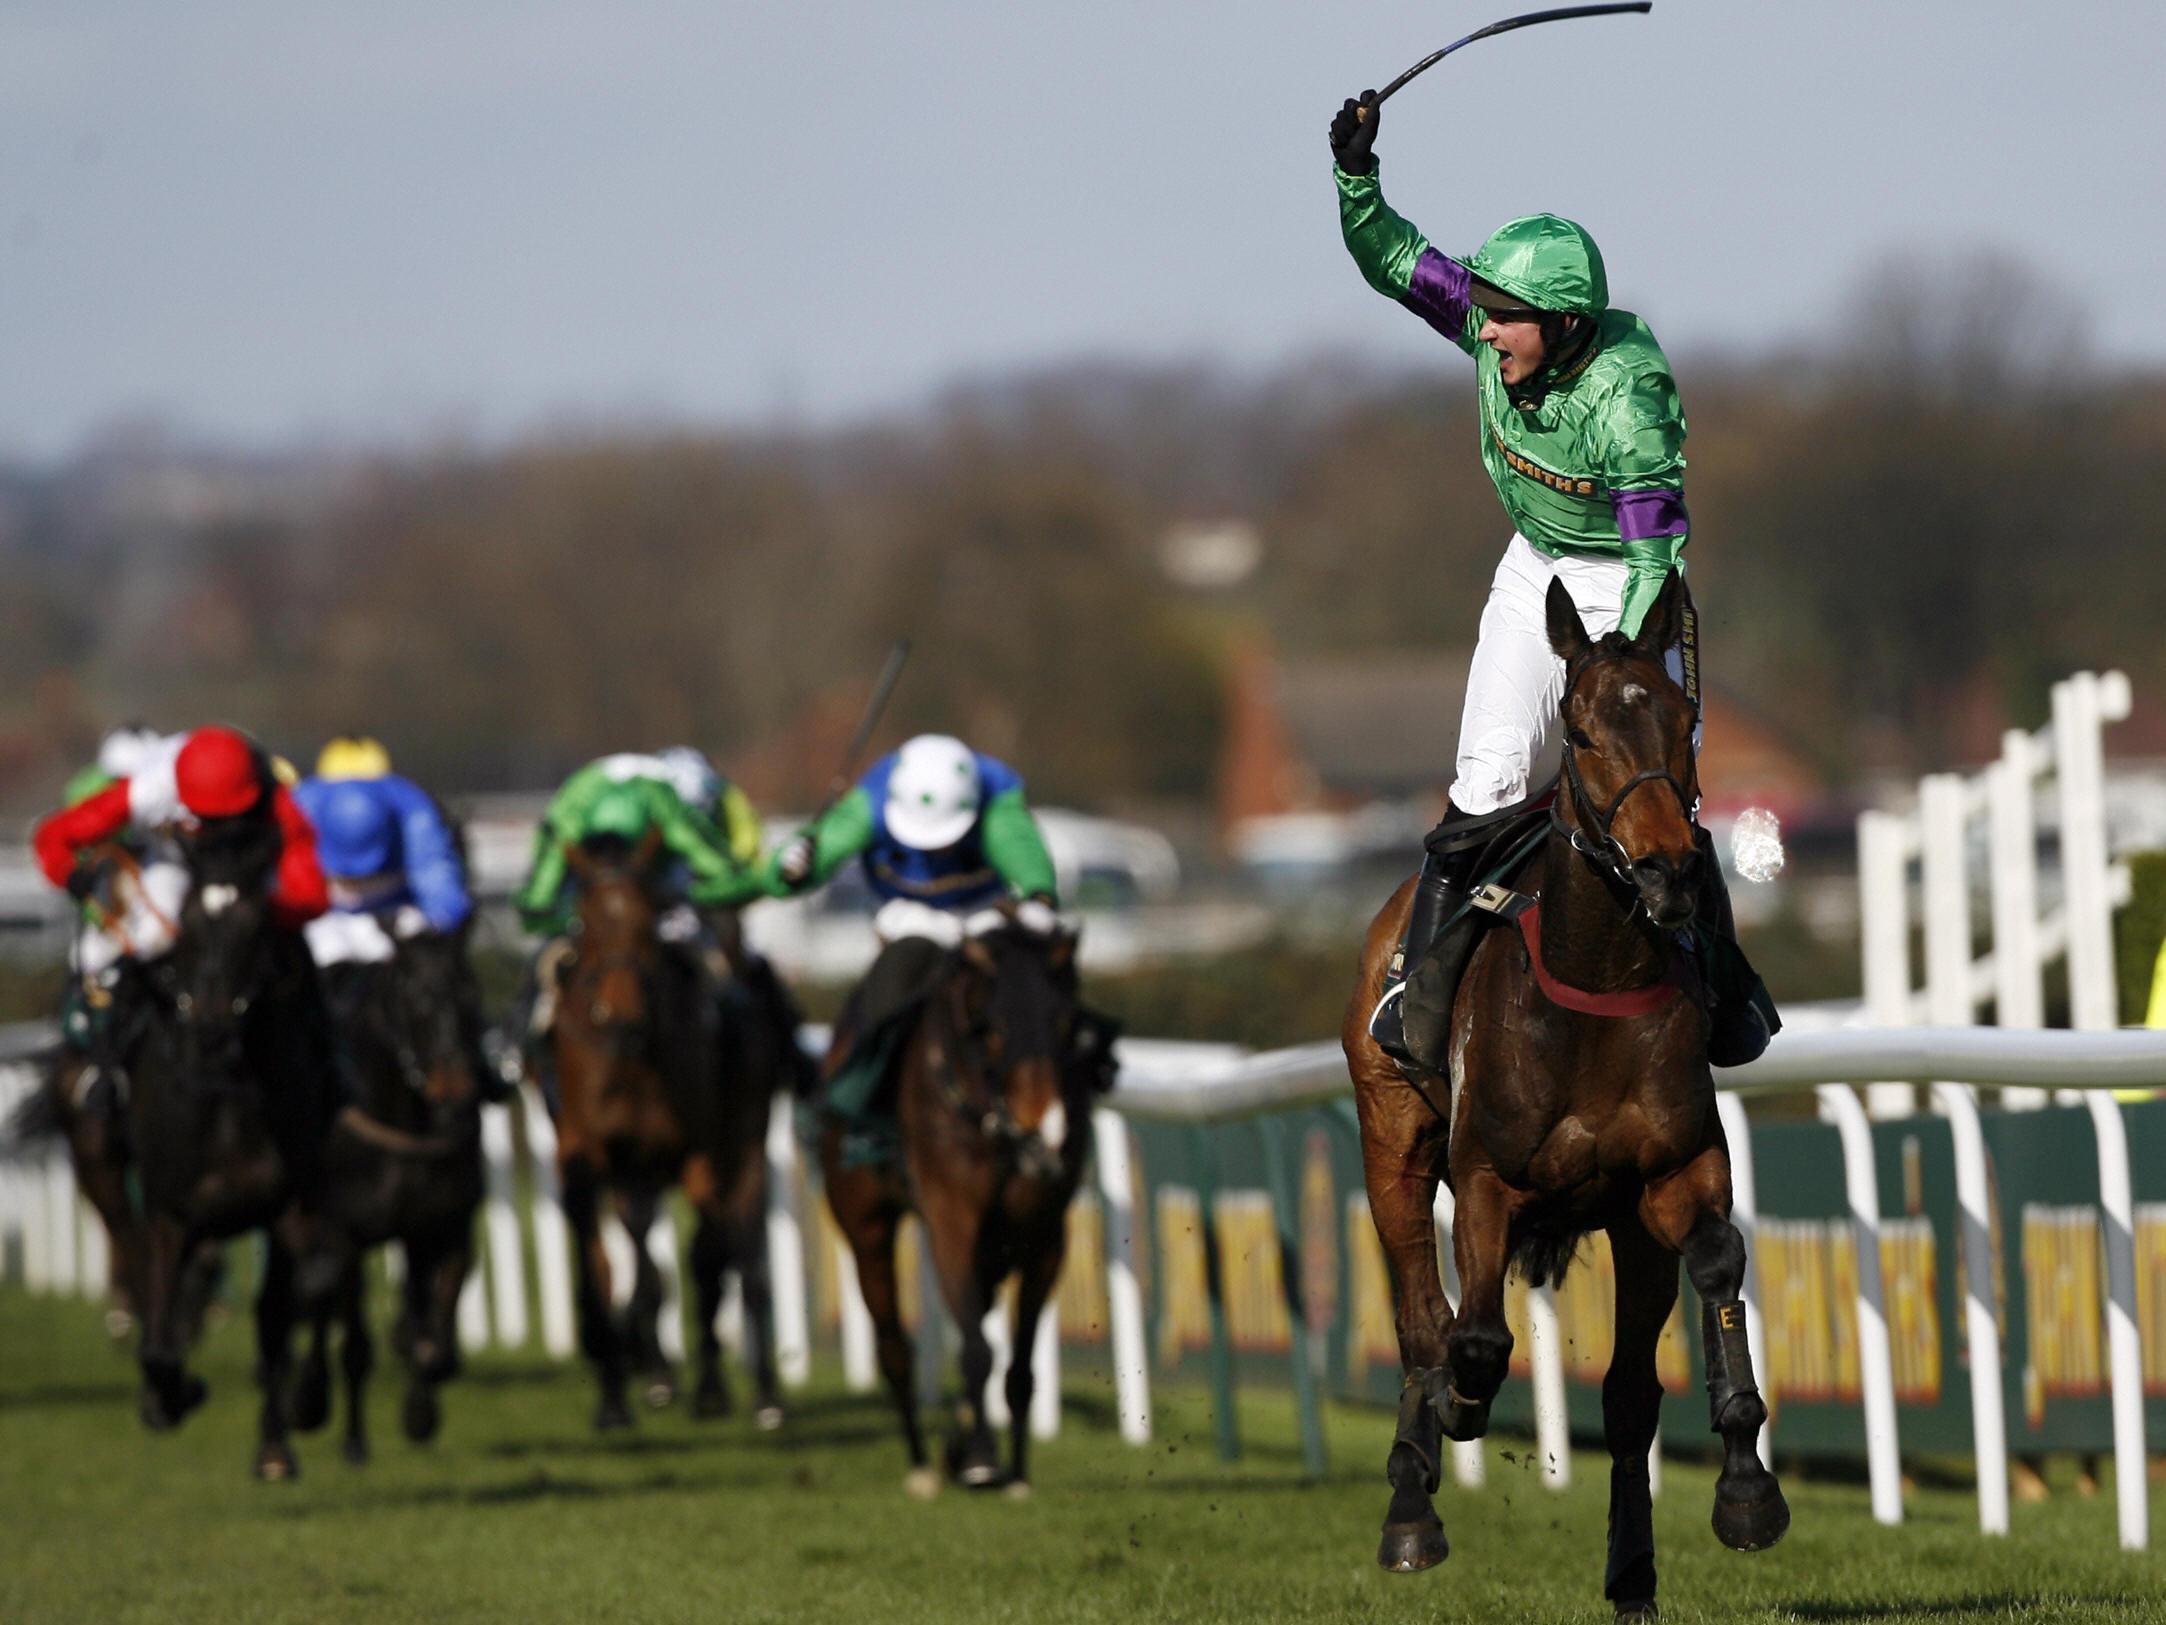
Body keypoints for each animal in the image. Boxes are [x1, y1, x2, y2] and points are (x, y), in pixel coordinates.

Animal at [288, 923, 487, 1473]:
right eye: (415, 1000)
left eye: (471, 998)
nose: (457, 1100)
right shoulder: (345, 1233)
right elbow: (352, 1340)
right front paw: (335, 1424)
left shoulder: (441, 1228)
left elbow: (432, 1332)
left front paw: (421, 1408)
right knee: (315, 1300)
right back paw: (311, 1407)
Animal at [545, 832, 784, 1430]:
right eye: (585, 921)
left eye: (646, 920)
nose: (620, 1015)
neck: (634, 1059)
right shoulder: (592, 1157)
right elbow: (611, 1263)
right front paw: (613, 1389)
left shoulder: (694, 1151)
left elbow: (704, 1257)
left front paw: (707, 1387)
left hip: (743, 1137)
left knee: (741, 1255)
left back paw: (761, 1393)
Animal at [823, 918, 1108, 1499]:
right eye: (990, 1027)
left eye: (1066, 1022)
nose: (1045, 1131)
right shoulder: (951, 1221)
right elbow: (976, 1348)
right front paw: (978, 1460)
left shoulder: (1044, 1235)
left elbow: (1020, 1364)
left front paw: (1014, 1470)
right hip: (865, 1227)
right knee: (894, 1346)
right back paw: (920, 1463)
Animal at [1342, 572, 1784, 1620]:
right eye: (1580, 733)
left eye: (1681, 719)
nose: (1668, 866)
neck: (1595, 982)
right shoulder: (1485, 1180)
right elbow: (1471, 1339)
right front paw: (1454, 1413)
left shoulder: (1674, 1172)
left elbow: (1718, 1261)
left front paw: (1747, 1487)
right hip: (1392, 1146)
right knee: (1420, 1320)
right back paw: (1412, 1505)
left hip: (1627, 1223)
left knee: (1626, 1397)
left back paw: (1633, 1576)